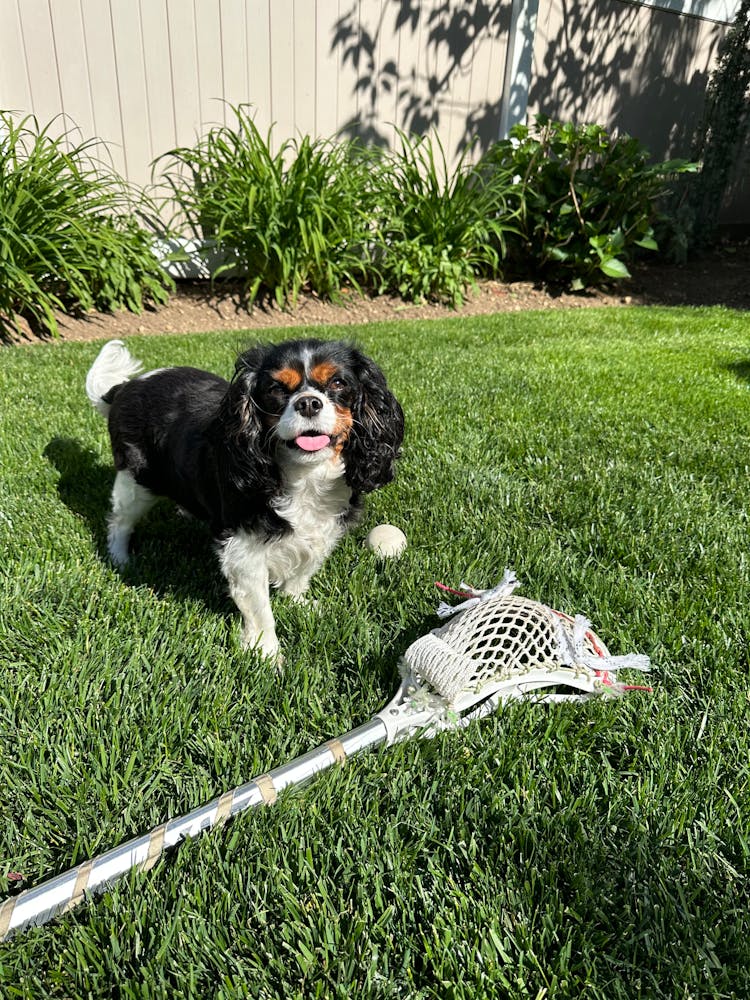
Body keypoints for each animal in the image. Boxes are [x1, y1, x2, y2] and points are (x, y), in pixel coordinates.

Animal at [86, 340, 406, 660]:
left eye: (338, 383)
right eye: (275, 388)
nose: (308, 403)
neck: (305, 476)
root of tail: (125, 387)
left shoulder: (323, 530)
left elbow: (302, 570)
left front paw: (297, 602)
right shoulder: (243, 549)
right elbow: (259, 607)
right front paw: (266, 653)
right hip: (137, 481)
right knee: (120, 522)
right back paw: (120, 558)